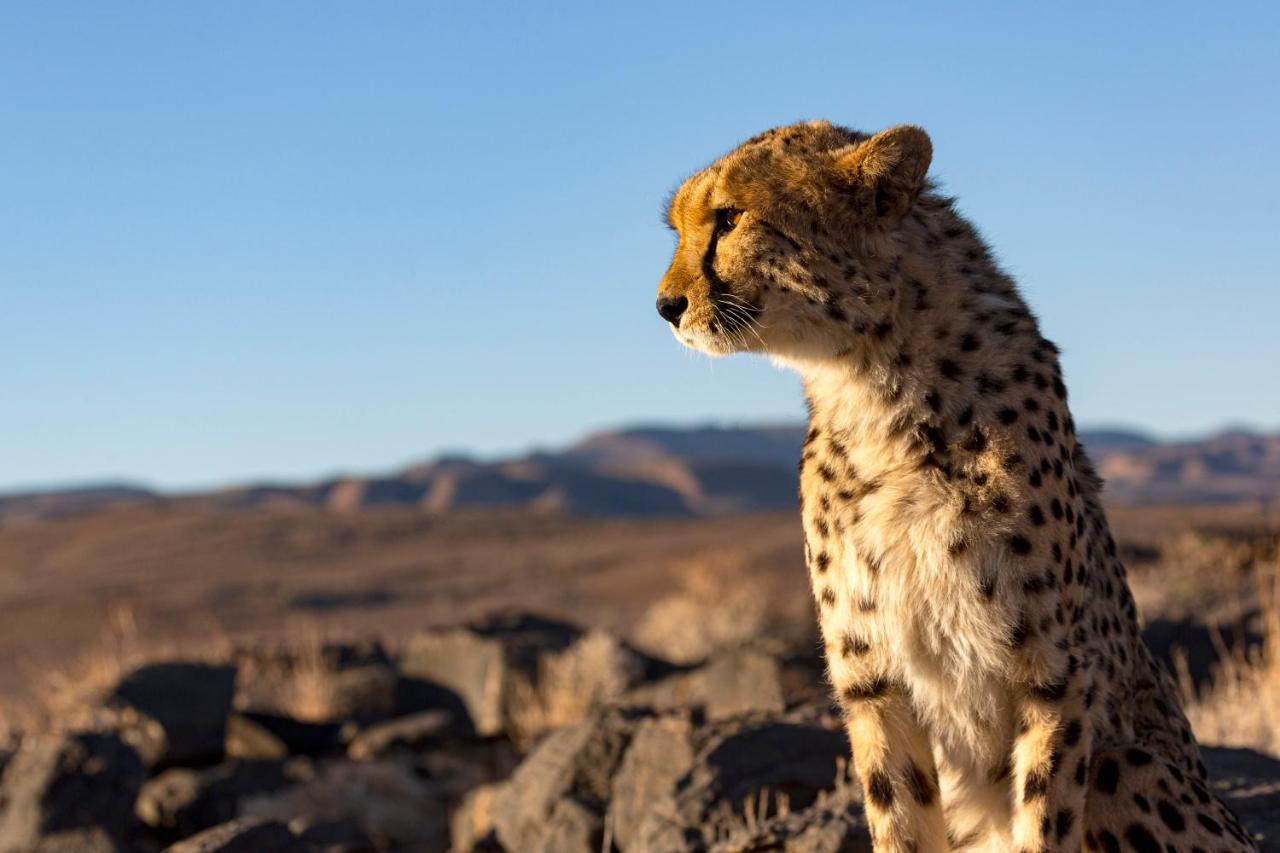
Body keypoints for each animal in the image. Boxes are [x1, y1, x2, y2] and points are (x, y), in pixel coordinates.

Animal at [655, 121, 1254, 850]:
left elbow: (1043, 813)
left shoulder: (1053, 670)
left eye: (729, 218)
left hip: (1124, 765)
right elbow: (899, 814)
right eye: (680, 227)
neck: (872, 384)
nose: (666, 305)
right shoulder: (873, 676)